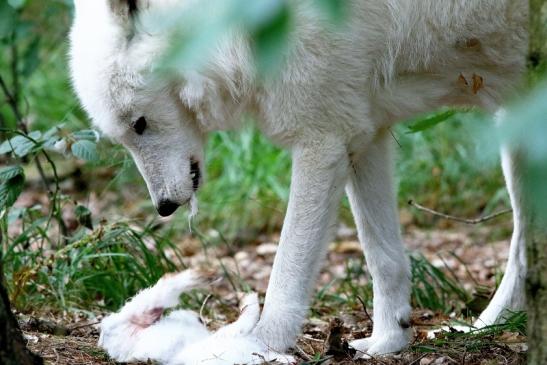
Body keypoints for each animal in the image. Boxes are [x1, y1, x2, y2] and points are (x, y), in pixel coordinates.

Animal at [68, 0, 532, 358]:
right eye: (125, 135)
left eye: (140, 124)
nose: (164, 207)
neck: (237, 24)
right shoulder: (364, 133)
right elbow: (383, 258)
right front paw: (388, 340)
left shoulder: (322, 140)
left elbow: (287, 270)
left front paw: (261, 346)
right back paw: (484, 328)